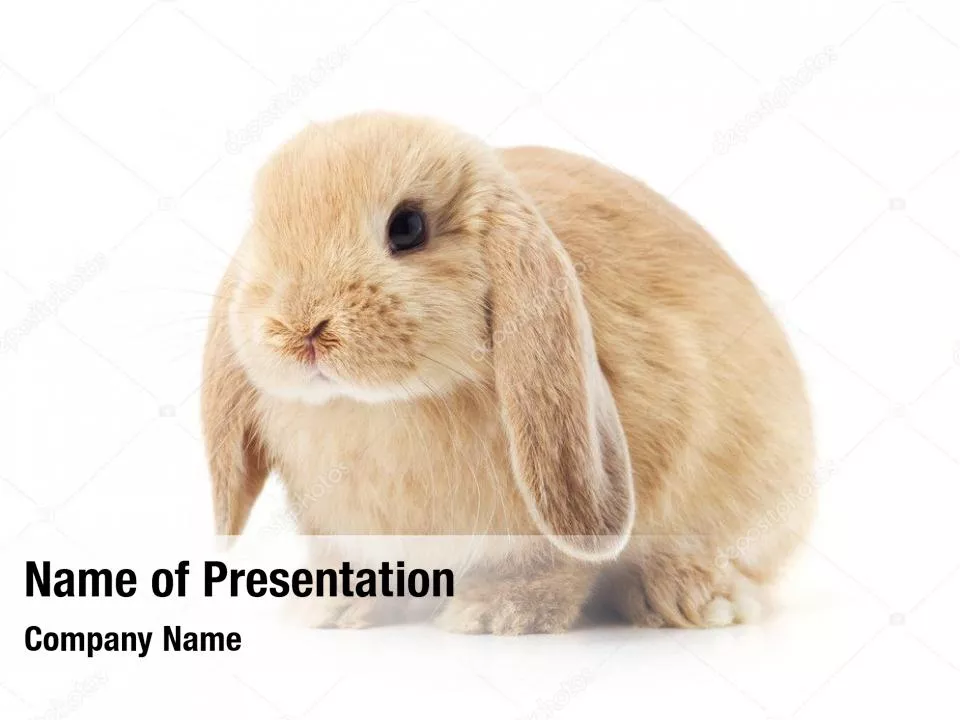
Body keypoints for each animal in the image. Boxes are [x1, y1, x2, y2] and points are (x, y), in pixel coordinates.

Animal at [201, 111, 815, 634]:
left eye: (408, 227)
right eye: (263, 229)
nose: (298, 327)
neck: (379, 406)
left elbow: (550, 566)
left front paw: (495, 614)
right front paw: (327, 611)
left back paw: (693, 600)